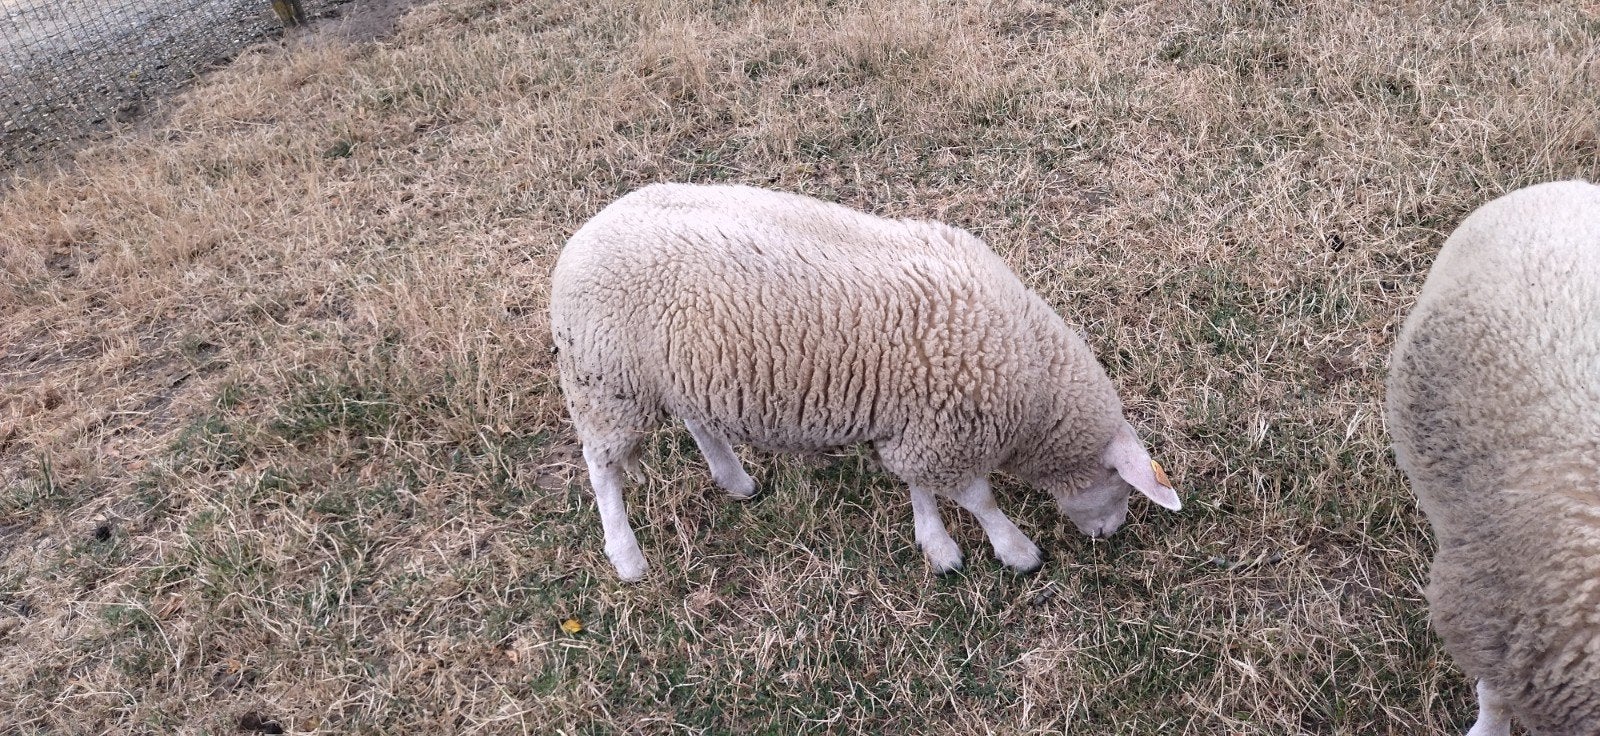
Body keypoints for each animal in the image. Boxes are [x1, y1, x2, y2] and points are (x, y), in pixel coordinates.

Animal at [550, 182, 1181, 582]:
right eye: (1120, 483)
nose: (1112, 535)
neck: (1035, 384)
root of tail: (579, 240)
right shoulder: (947, 430)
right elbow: (977, 497)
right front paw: (1017, 551)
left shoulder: (920, 426)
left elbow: (918, 485)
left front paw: (937, 547)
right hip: (606, 383)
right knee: (602, 468)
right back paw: (627, 558)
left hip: (676, 375)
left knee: (699, 423)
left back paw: (736, 481)